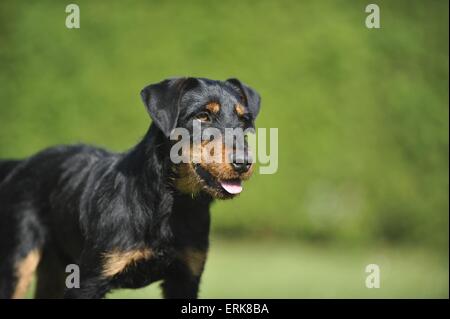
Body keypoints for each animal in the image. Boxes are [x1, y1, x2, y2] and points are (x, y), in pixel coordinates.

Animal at [0, 77, 260, 300]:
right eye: (203, 116)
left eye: (244, 120)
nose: (244, 162)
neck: (171, 204)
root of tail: (21, 163)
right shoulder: (87, 281)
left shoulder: (185, 278)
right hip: (19, 260)